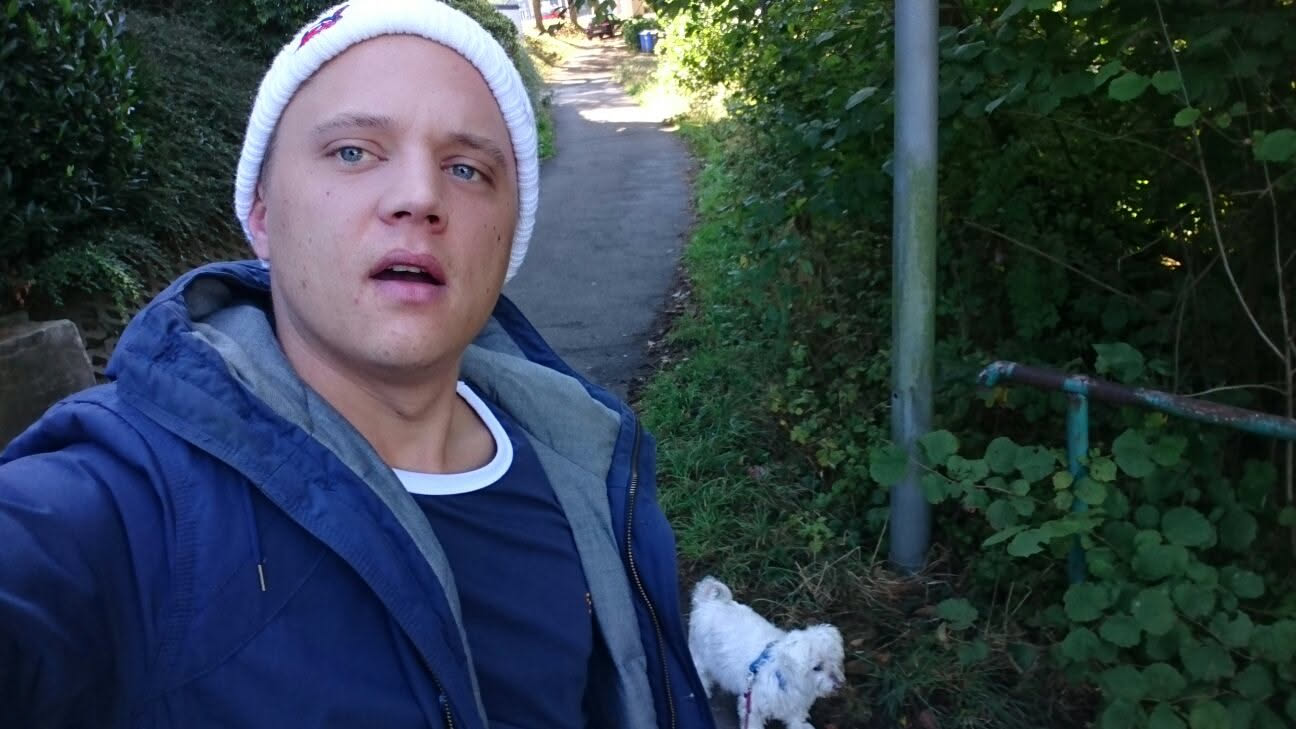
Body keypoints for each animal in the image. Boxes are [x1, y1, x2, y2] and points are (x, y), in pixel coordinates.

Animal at [688, 576, 844, 729]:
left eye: (835, 662)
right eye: (817, 667)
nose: (839, 685)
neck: (783, 676)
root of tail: (708, 601)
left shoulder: (796, 703)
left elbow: (796, 718)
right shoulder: (752, 707)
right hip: (700, 654)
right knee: (700, 673)